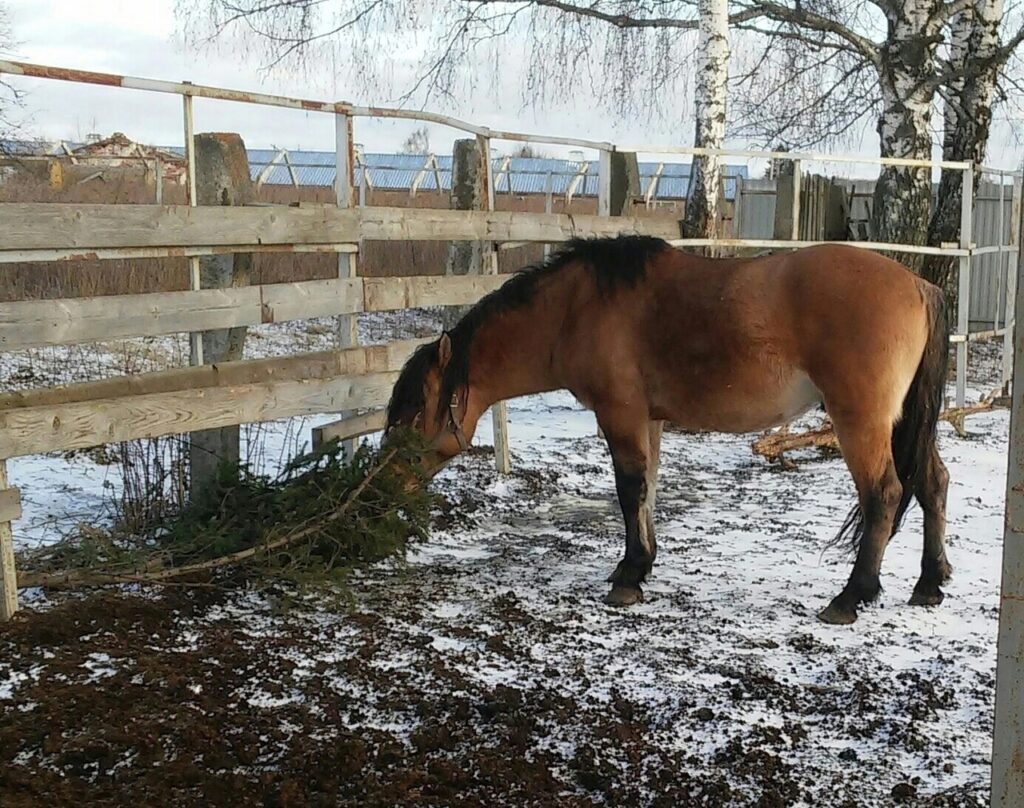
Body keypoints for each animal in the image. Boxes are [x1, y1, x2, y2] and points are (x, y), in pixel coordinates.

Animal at [385, 234, 950, 622]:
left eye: (414, 414)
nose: (386, 486)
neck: (574, 309)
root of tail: (919, 286)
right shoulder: (649, 419)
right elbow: (650, 488)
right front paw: (640, 565)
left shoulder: (621, 414)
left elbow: (630, 488)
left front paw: (629, 577)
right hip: (903, 422)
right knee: (932, 483)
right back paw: (929, 583)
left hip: (861, 422)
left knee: (884, 493)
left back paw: (851, 596)